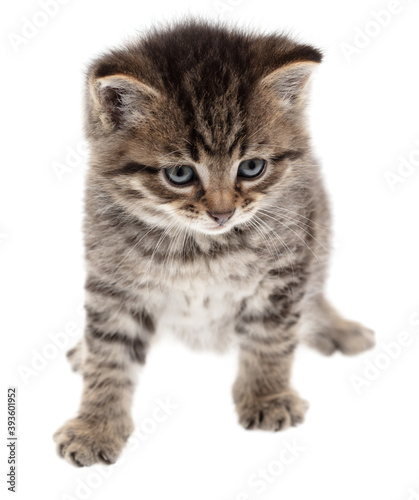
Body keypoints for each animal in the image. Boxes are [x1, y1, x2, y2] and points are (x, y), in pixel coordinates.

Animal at [52, 19, 374, 464]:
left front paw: (266, 396)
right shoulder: (113, 281)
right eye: (180, 174)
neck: (200, 247)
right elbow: (110, 355)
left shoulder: (285, 269)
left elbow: (270, 337)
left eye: (252, 167)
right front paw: (96, 426)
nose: (222, 214)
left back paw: (335, 327)